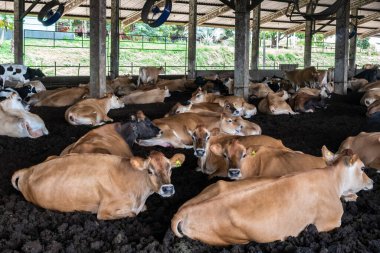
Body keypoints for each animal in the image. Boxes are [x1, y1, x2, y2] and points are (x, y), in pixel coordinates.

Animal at [11, 151, 184, 220]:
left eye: (170, 168)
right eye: (150, 171)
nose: (168, 189)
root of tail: (29, 169)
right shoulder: (105, 211)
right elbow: (132, 214)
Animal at [172, 151, 374, 246]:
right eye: (363, 168)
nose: (372, 181)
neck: (332, 179)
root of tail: (183, 211)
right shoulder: (330, 221)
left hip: (215, 187)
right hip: (235, 239)